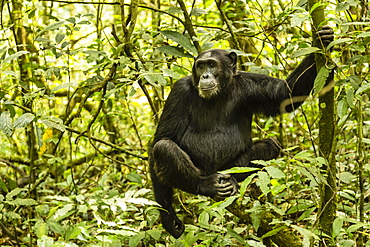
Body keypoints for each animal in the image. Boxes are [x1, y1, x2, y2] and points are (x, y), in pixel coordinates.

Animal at [149, 26, 334, 237]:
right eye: (201, 66)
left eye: (211, 64)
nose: (205, 76)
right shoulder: (179, 91)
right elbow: (164, 137)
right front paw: (168, 217)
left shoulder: (251, 85)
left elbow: (284, 94)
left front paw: (322, 40)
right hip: (201, 171)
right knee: (164, 148)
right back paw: (206, 185)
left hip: (228, 166)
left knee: (270, 144)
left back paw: (231, 180)